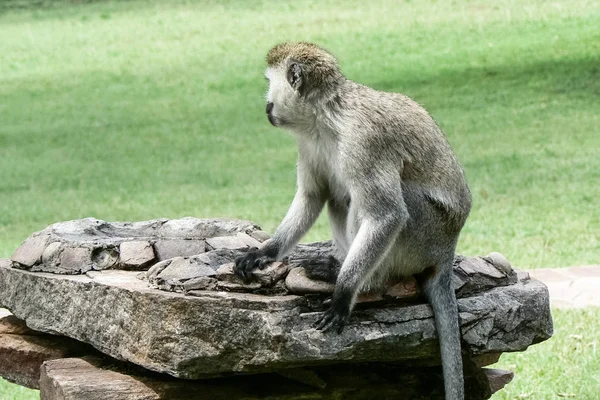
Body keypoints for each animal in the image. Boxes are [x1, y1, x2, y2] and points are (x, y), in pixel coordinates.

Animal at [234, 42, 474, 398]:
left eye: (269, 82)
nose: (266, 105)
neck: (328, 118)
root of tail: (448, 251)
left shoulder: (365, 141)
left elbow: (387, 215)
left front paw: (344, 293)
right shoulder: (309, 142)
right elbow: (313, 196)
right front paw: (264, 253)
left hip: (427, 235)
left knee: (379, 201)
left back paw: (362, 280)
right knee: (339, 194)